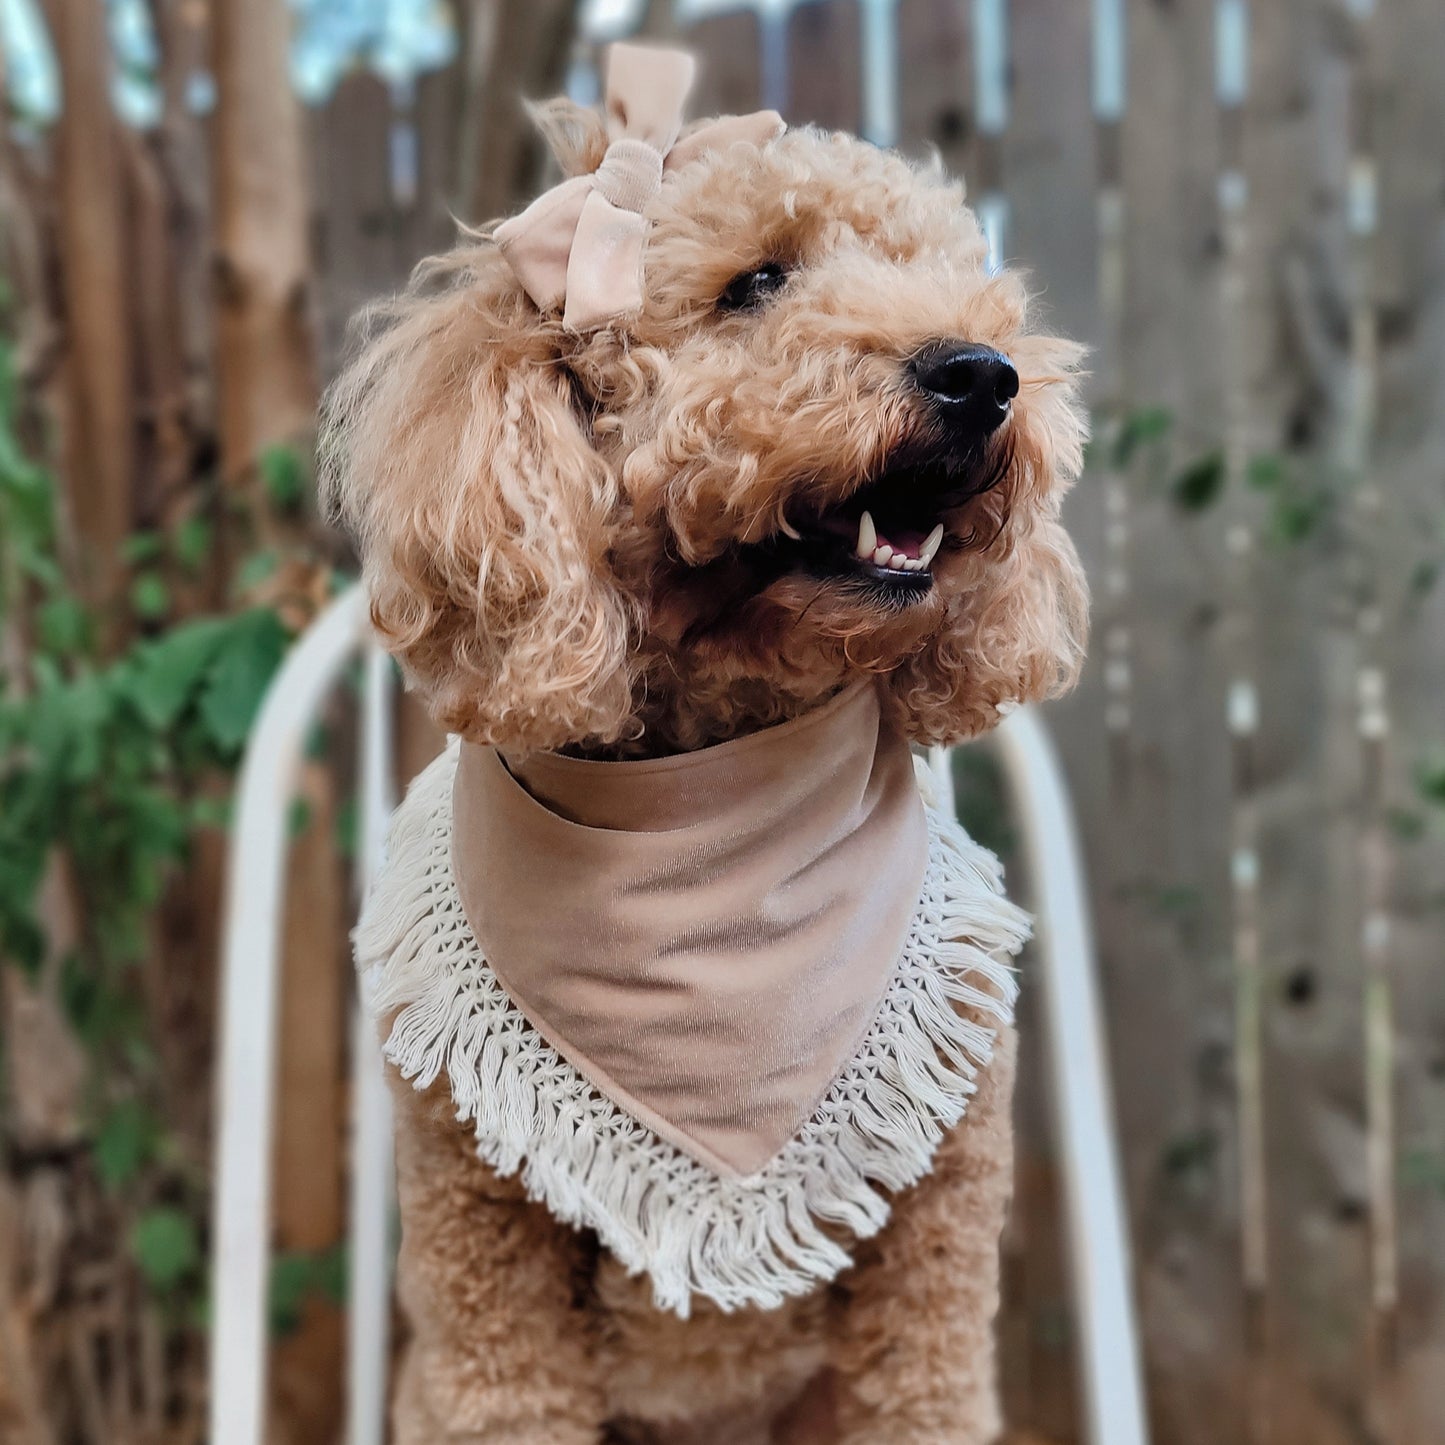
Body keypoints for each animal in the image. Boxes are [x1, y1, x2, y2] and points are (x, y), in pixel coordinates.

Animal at [319, 42, 1086, 1445]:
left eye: (941, 270)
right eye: (756, 284)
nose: (981, 373)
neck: (709, 794)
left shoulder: (937, 1231)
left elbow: (925, 1384)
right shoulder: (479, 1242)